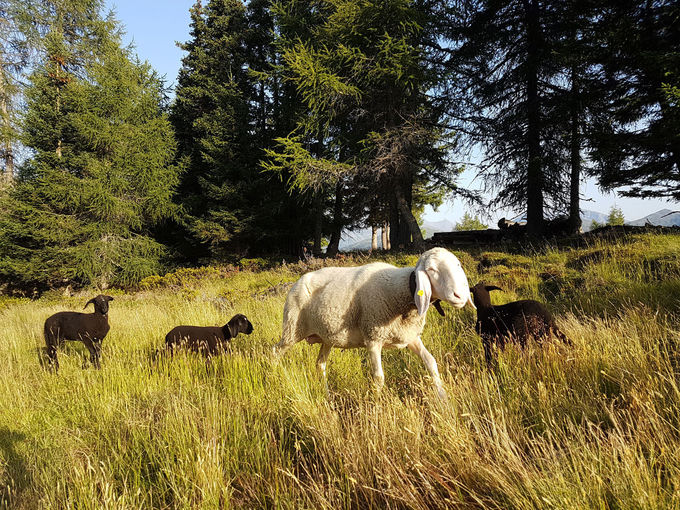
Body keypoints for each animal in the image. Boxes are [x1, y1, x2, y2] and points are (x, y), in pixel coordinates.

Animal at [270, 247, 472, 398]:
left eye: (458, 265)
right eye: (431, 270)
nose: (459, 296)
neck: (400, 291)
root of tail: (299, 281)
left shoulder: (409, 336)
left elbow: (431, 362)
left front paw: (443, 397)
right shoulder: (373, 338)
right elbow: (379, 378)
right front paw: (377, 406)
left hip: (326, 336)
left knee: (320, 365)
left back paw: (327, 396)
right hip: (293, 328)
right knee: (275, 352)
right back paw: (276, 377)